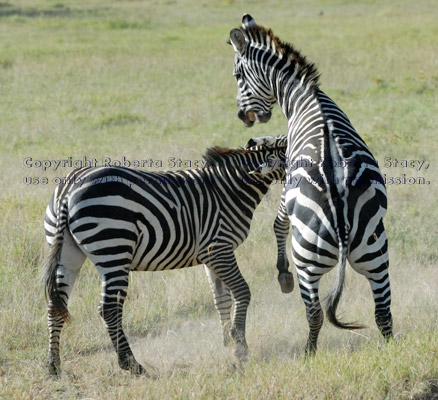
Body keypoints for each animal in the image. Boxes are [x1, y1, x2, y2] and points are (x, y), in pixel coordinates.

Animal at [41, 136, 288, 376]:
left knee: (56, 304)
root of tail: (68, 190)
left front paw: (226, 343)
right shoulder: (218, 248)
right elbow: (242, 291)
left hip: (67, 253)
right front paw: (240, 348)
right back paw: (131, 364)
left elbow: (222, 299)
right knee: (109, 308)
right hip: (114, 248)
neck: (230, 189)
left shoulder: (211, 256)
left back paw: (54, 366)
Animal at [229, 14, 394, 354]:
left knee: (315, 312)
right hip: (376, 250)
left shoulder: (289, 178)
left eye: (237, 75)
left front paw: (281, 273)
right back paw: (391, 351)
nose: (243, 117)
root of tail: (341, 211)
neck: (303, 94)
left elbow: (278, 222)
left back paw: (309, 353)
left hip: (305, 258)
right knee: (383, 311)